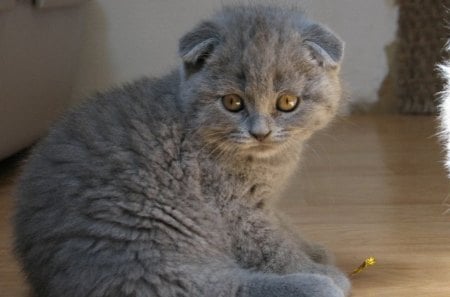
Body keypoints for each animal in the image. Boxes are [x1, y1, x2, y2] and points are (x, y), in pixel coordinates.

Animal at [14, 4, 350, 296]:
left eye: (287, 102)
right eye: (233, 102)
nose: (260, 133)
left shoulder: (263, 204)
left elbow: (283, 225)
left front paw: (313, 249)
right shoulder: (234, 210)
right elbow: (274, 247)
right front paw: (317, 269)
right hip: (147, 247)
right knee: (215, 287)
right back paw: (317, 286)